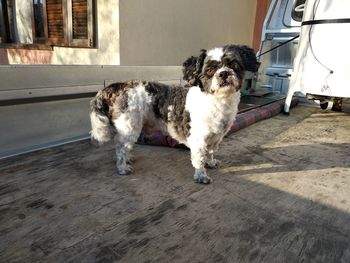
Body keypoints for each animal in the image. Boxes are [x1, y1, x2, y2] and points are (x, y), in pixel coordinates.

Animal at [89, 45, 260, 185]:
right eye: (210, 70)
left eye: (234, 65)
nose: (224, 73)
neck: (217, 101)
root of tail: (116, 87)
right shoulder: (198, 139)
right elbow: (199, 158)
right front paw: (201, 175)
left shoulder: (216, 137)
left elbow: (210, 152)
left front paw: (211, 163)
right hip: (129, 127)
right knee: (120, 147)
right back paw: (122, 166)